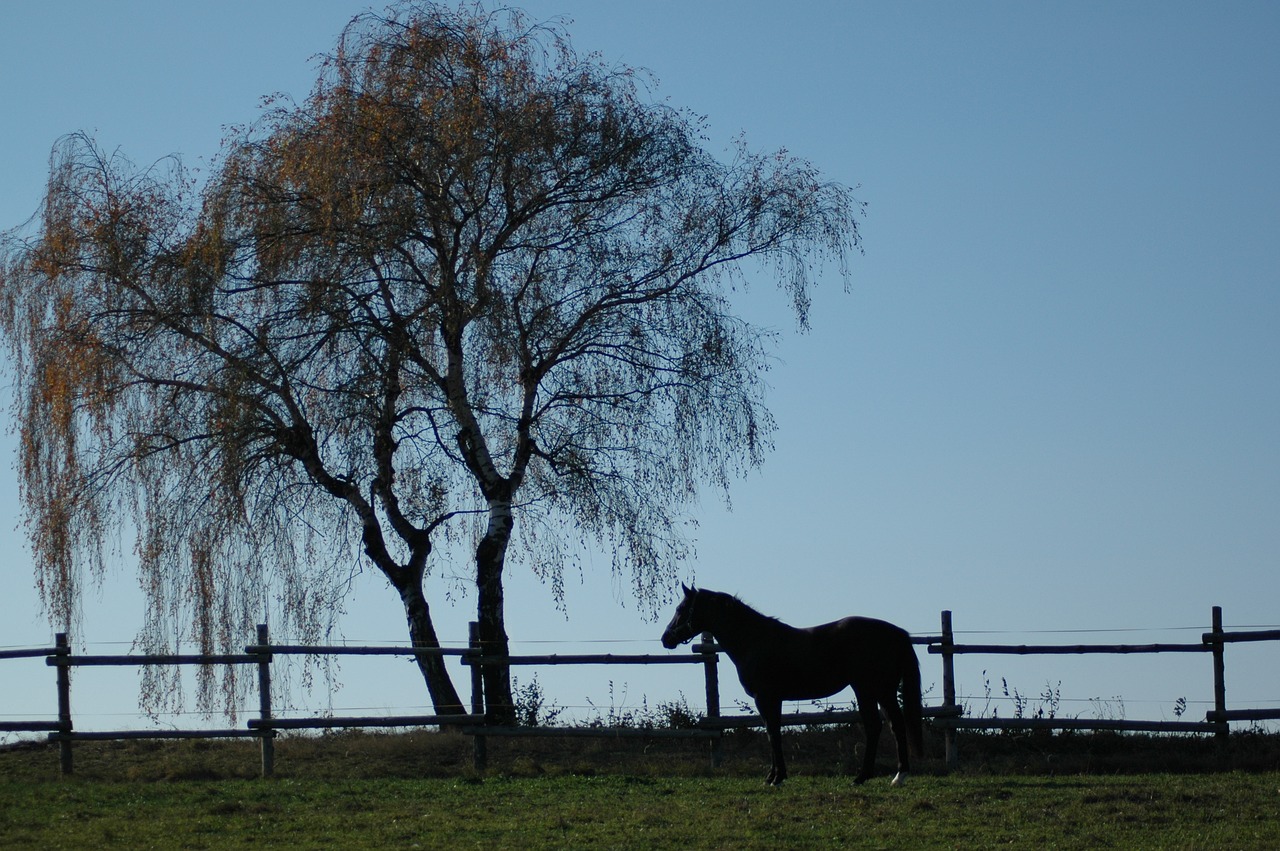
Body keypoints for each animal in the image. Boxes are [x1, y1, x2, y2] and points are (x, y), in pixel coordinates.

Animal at [660, 580, 921, 788]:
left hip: (869, 689)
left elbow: (773, 734)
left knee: (879, 726)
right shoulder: (771, 699)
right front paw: (772, 776)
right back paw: (891, 777)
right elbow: (771, 732)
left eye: (681, 609)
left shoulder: (765, 697)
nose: (666, 638)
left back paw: (870, 777)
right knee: (891, 726)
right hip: (880, 691)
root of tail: (897, 633)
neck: (754, 641)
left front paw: (777, 778)